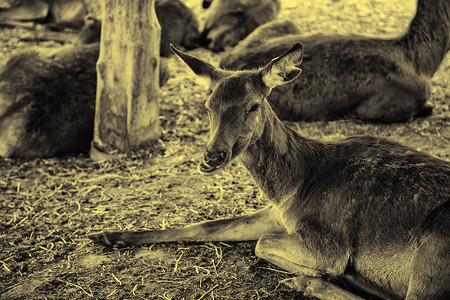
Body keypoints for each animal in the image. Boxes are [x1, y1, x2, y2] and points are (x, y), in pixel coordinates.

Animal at [89, 44, 450, 300]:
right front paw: (107, 235)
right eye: (208, 106)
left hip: (435, 246)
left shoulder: (328, 242)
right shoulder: (276, 214)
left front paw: (323, 273)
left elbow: (261, 244)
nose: (212, 156)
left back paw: (311, 282)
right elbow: (207, 226)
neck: (295, 186)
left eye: (252, 106)